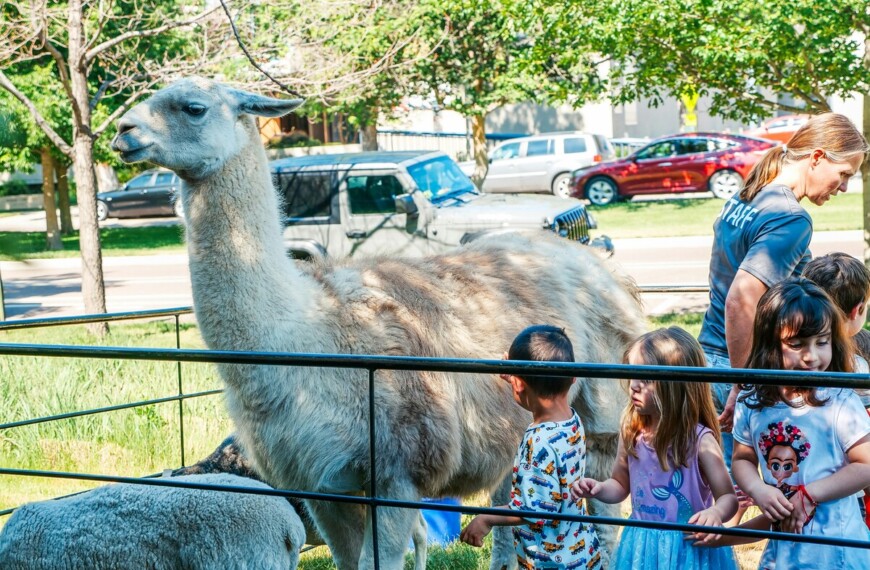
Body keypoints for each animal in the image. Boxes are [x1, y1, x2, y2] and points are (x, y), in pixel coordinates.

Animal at [110, 76, 648, 568]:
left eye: (192, 107)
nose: (122, 130)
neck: (308, 334)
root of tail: (599, 262)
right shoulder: (323, 483)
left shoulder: (398, 471)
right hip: (516, 430)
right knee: (508, 517)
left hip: (599, 409)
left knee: (603, 514)